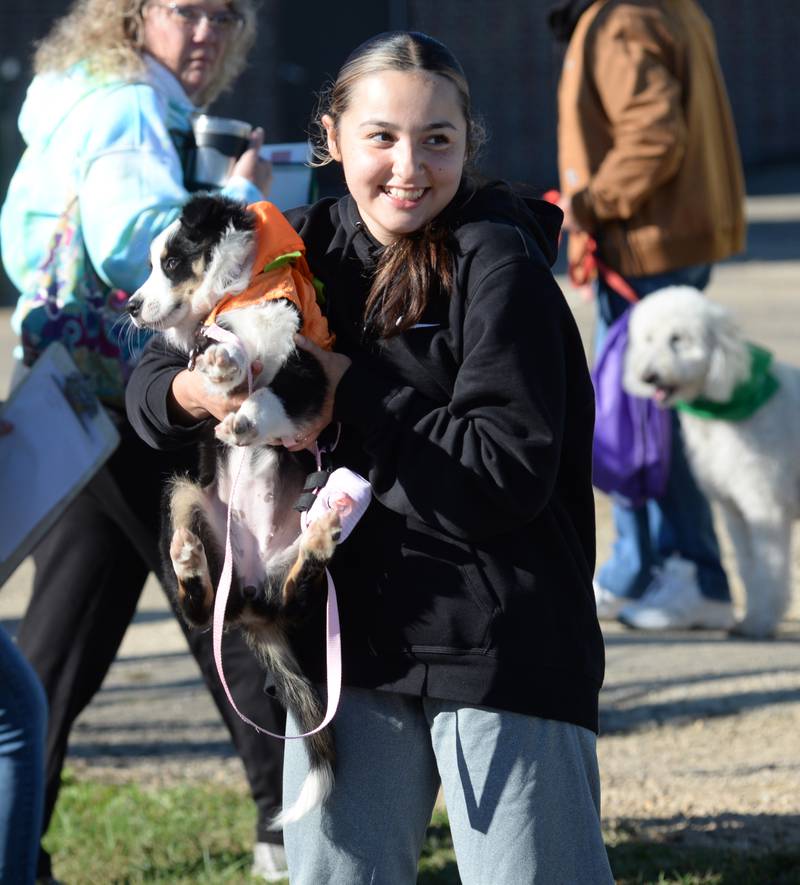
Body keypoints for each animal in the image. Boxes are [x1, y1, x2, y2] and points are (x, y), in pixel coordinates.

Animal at [127, 193, 338, 820]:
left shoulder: (308, 366)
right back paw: (189, 562)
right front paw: (223, 367)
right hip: (182, 494)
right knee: (198, 612)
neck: (241, 291)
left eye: (171, 262)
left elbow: (270, 396)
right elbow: (222, 355)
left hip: (309, 545)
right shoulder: (211, 342)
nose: (130, 308)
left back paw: (320, 539)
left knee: (299, 587)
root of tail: (248, 603)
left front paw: (243, 416)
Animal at [624, 284, 800, 636]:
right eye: (647, 338)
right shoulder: (734, 509)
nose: (648, 376)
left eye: (677, 338)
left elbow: (768, 568)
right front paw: (752, 616)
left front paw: (759, 622)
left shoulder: (765, 506)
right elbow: (748, 567)